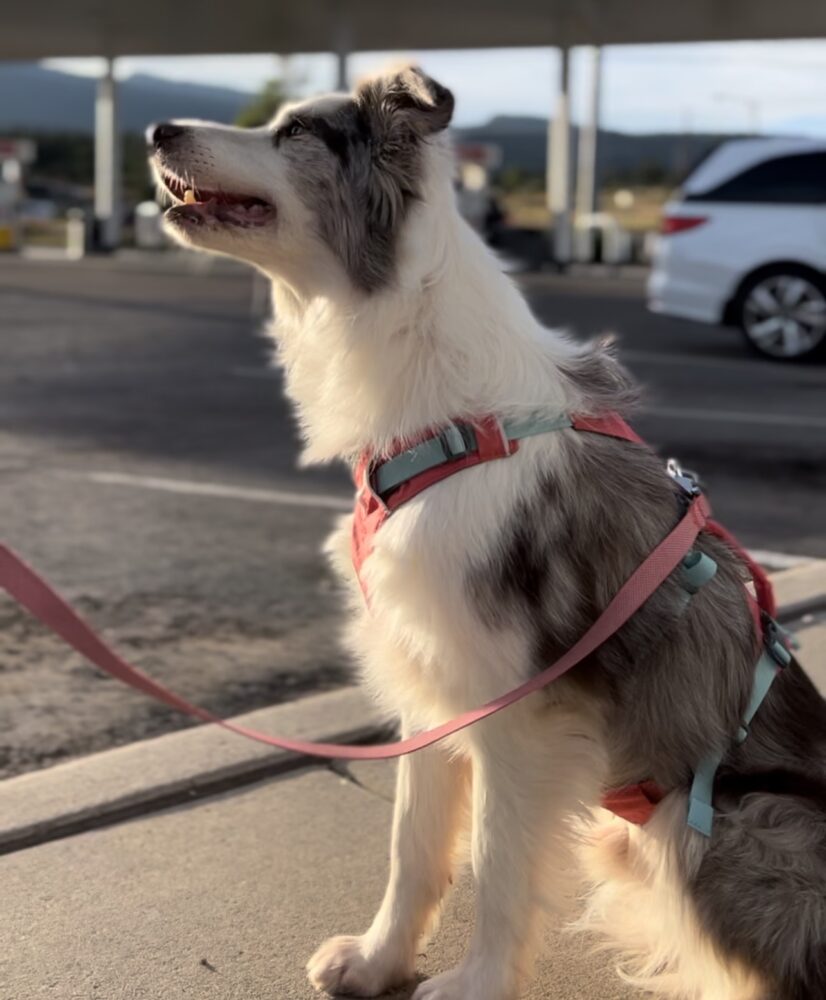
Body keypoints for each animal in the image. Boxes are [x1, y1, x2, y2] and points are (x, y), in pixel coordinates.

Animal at [151, 66, 824, 996]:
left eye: (299, 134)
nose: (155, 130)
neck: (444, 418)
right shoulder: (426, 672)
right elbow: (413, 845)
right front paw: (379, 959)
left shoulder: (516, 706)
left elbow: (499, 859)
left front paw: (476, 982)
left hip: (728, 823)